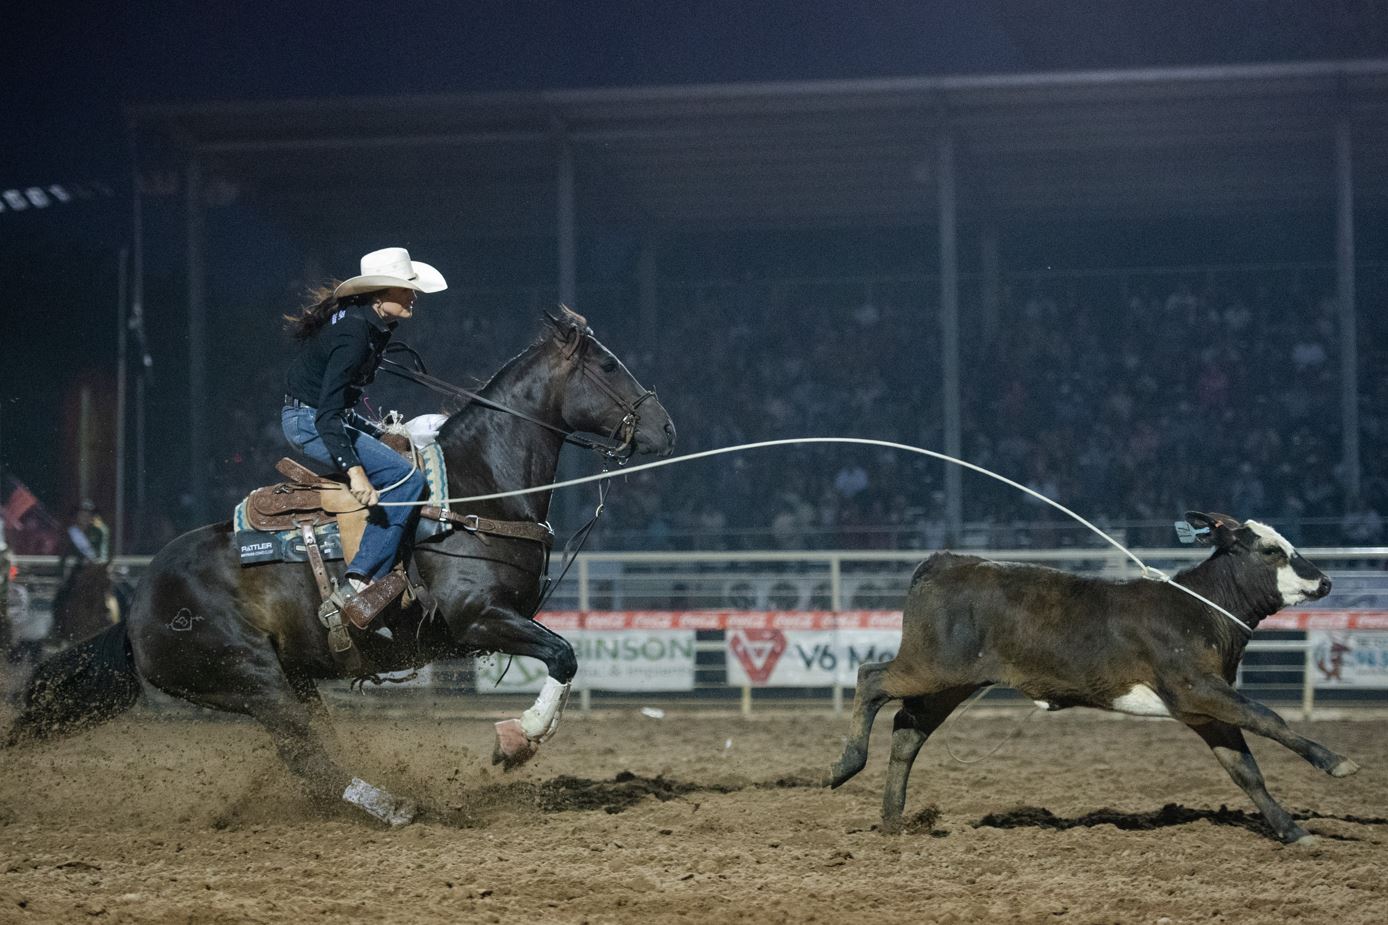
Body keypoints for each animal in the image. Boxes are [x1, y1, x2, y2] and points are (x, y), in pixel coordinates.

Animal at [4, 309, 677, 822]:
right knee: (306, 755)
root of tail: (135, 611)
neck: (477, 488)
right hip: (252, 680)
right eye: (608, 366)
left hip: (290, 679)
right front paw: (518, 741)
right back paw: (390, 805)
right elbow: (564, 655)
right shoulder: (477, 619)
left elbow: (564, 655)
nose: (666, 428)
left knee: (314, 749)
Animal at [827, 511, 1360, 844]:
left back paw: (893, 821)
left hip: (951, 682)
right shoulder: (1197, 689)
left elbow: (1245, 770)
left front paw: (1293, 831)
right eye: (1271, 551)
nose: (1325, 581)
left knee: (908, 731)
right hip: (932, 665)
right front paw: (1336, 762)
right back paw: (844, 765)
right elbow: (1269, 718)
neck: (1200, 611)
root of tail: (944, 561)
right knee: (870, 678)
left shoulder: (1204, 711)